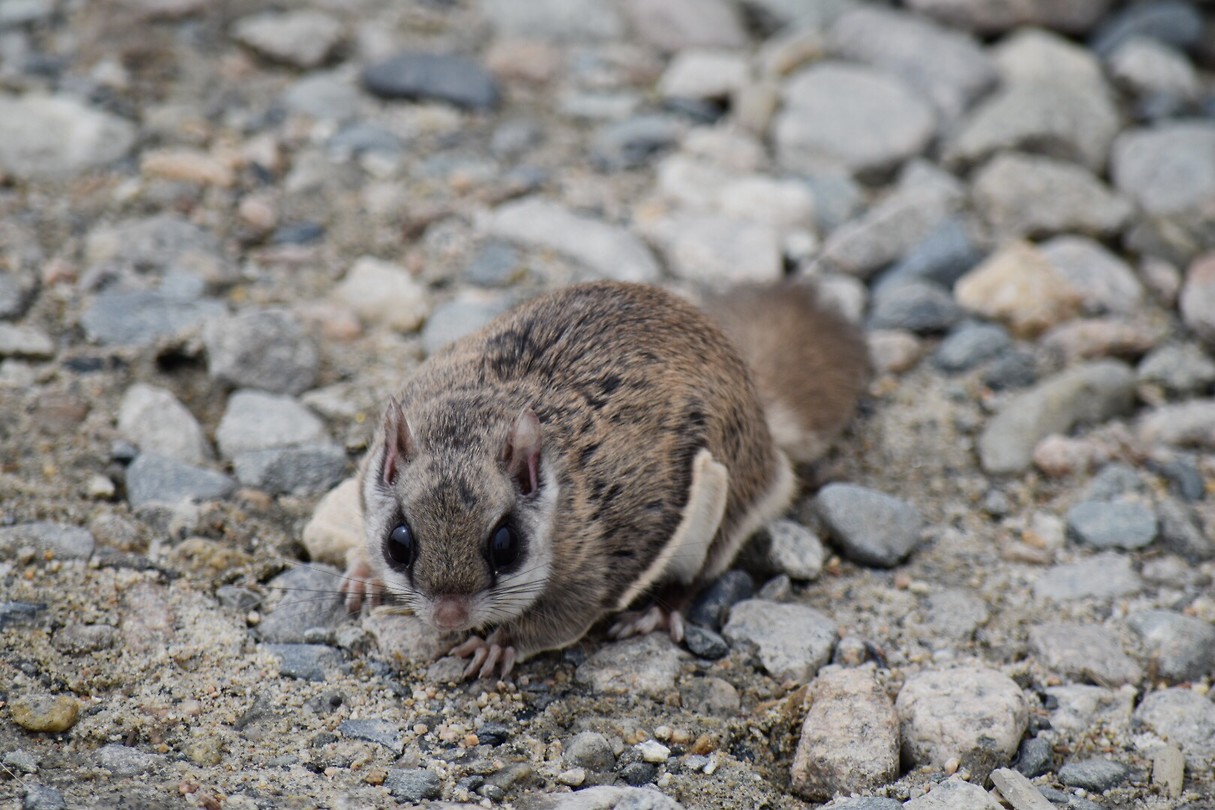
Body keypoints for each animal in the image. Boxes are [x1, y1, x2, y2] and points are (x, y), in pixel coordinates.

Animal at [342, 280, 868, 678]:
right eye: (398, 543)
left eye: (505, 546)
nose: (449, 616)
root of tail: (763, 418)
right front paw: (362, 574)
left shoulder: (589, 577)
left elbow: (555, 622)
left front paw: (496, 645)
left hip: (720, 500)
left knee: (701, 574)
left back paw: (655, 612)